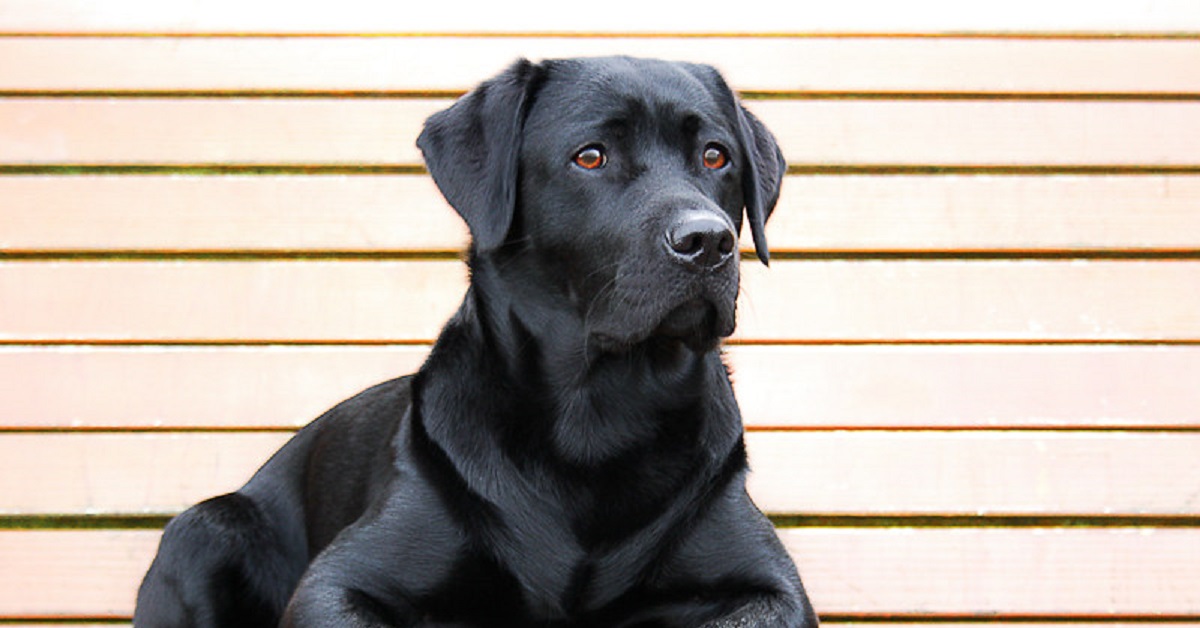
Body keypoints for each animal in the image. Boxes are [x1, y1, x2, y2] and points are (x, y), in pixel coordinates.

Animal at [136, 56, 820, 624]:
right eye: (591, 156)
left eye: (715, 156)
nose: (707, 241)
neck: (599, 418)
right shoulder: (337, 582)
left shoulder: (770, 585)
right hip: (205, 531)